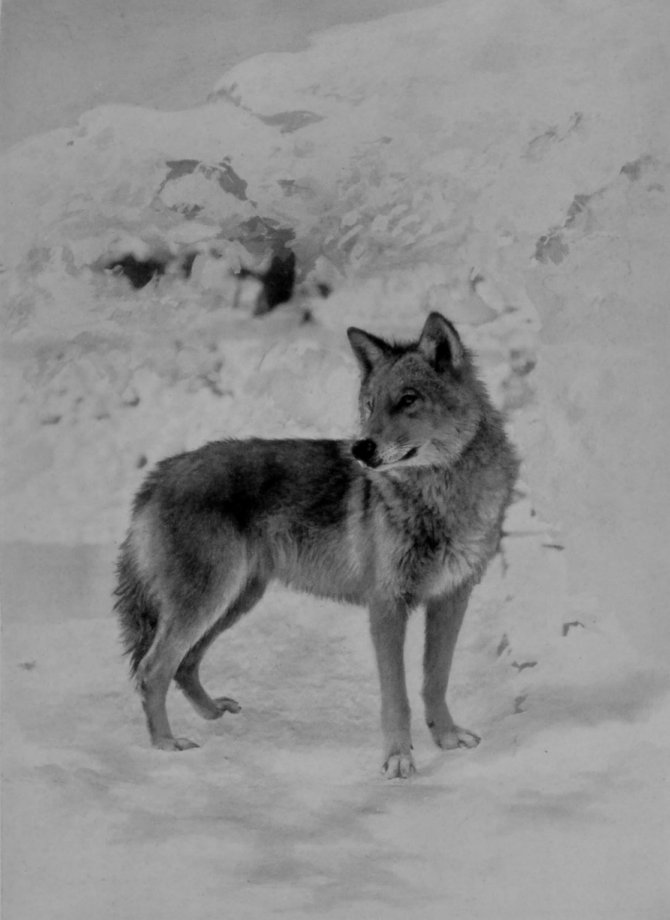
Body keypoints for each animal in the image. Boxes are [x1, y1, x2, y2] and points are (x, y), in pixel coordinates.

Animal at [114, 312, 518, 778]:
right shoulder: (386, 607)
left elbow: (436, 680)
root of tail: (159, 474)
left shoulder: (452, 598)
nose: (362, 447)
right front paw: (398, 759)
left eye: (408, 400)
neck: (438, 498)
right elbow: (396, 696)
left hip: (233, 601)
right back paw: (166, 746)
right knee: (152, 670)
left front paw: (448, 740)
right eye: (369, 405)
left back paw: (213, 713)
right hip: (207, 602)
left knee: (184, 665)